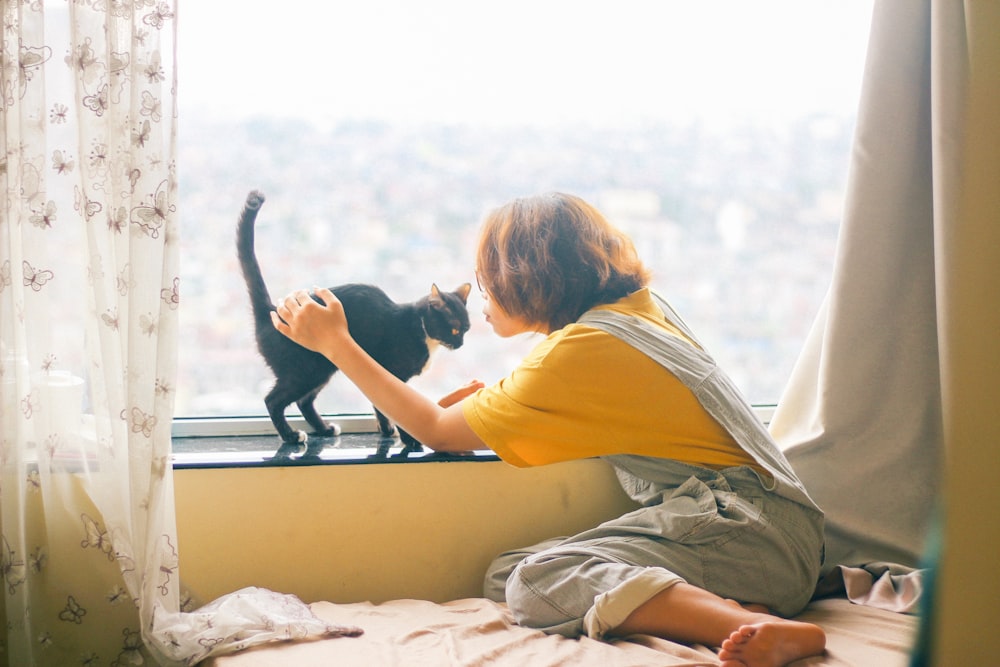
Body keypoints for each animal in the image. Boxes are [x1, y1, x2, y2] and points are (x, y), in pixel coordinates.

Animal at [235, 190, 472, 456]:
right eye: (454, 329)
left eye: (466, 329)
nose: (461, 344)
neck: (421, 330)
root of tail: (270, 312)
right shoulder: (391, 371)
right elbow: (390, 408)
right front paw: (407, 440)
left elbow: (381, 406)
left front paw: (386, 431)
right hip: (305, 370)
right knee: (274, 400)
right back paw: (291, 436)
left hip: (322, 367)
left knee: (304, 400)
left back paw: (325, 429)